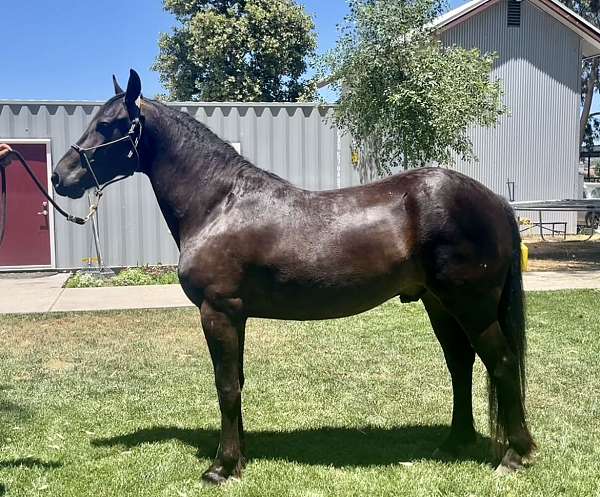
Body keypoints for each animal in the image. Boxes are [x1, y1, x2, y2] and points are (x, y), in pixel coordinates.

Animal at [54, 69, 536, 480]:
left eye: (109, 125)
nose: (61, 177)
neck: (219, 205)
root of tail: (494, 200)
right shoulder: (235, 315)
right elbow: (237, 383)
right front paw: (239, 457)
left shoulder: (218, 311)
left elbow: (226, 386)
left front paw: (221, 467)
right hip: (440, 305)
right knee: (461, 364)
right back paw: (455, 443)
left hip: (471, 306)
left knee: (501, 363)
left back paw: (514, 455)